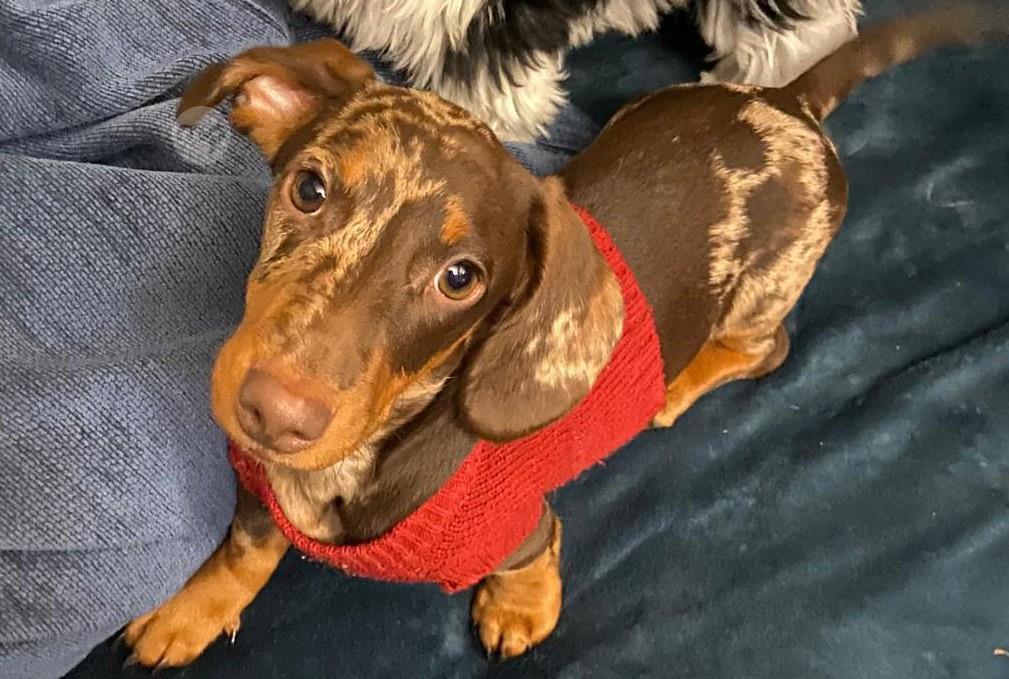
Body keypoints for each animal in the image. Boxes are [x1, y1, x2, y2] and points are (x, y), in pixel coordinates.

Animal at [122, 4, 1004, 668]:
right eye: (309, 188)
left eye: (460, 278)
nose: (273, 412)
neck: (357, 460)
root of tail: (790, 102)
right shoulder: (257, 498)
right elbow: (245, 550)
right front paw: (192, 610)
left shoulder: (521, 525)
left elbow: (534, 558)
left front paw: (520, 609)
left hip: (765, 289)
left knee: (767, 347)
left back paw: (678, 384)